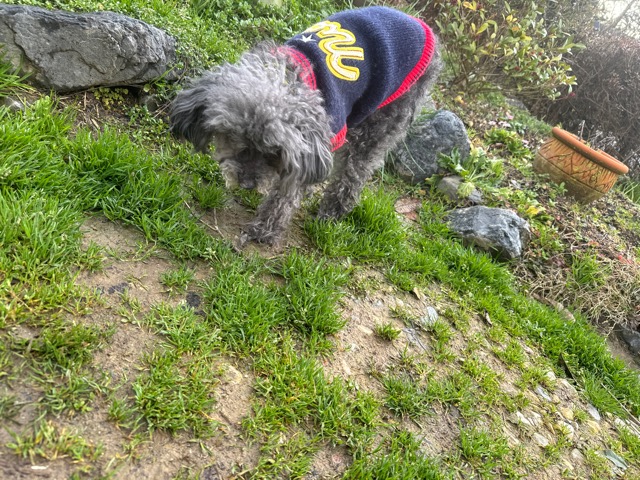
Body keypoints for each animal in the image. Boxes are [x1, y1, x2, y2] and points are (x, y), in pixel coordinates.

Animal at [170, 6, 442, 245]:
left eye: (274, 152)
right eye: (232, 137)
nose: (247, 184)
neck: (291, 75)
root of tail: (419, 23)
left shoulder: (311, 143)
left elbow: (286, 193)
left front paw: (264, 229)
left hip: (386, 114)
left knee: (354, 171)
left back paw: (333, 211)